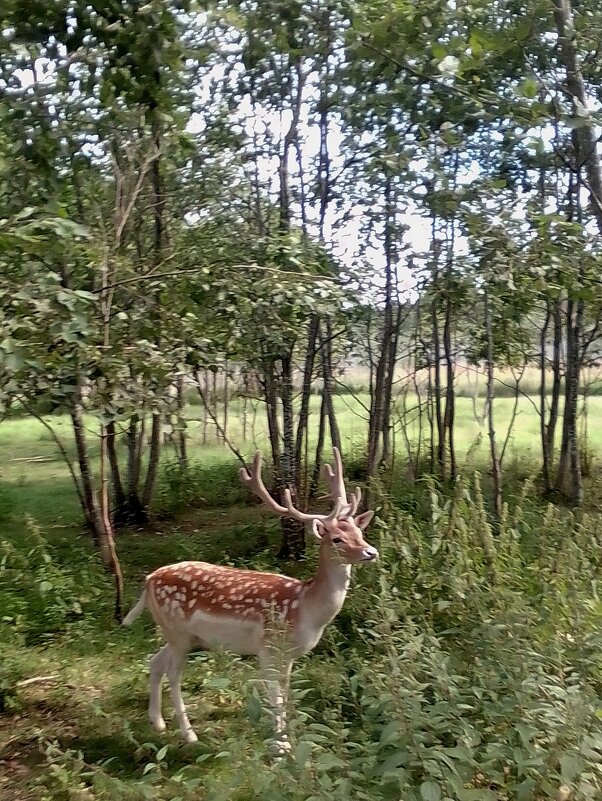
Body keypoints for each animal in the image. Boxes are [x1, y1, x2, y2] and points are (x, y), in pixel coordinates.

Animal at [122, 450, 376, 752]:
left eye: (359, 534)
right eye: (337, 539)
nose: (371, 552)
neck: (305, 611)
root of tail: (149, 579)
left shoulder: (289, 656)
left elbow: (285, 694)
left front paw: (288, 741)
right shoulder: (266, 648)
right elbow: (275, 697)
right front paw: (280, 747)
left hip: (181, 634)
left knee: (155, 661)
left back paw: (158, 723)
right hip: (178, 631)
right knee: (173, 672)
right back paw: (189, 734)